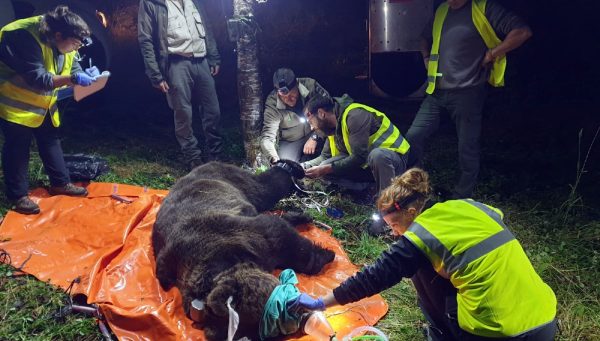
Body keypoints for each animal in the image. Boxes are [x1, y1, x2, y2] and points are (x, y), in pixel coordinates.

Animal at [152, 160, 336, 340]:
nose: (300, 320)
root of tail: (205, 164)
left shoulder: (246, 234)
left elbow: (290, 242)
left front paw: (327, 254)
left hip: (237, 183)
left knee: (267, 187)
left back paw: (293, 170)